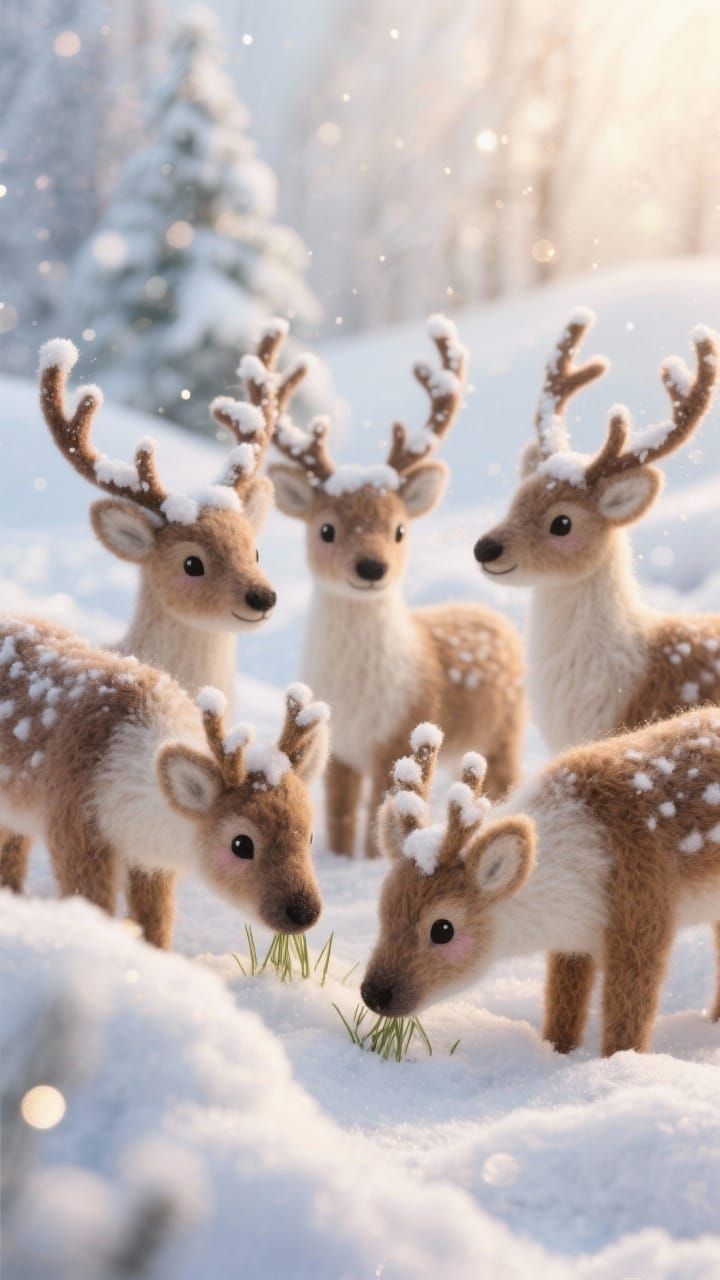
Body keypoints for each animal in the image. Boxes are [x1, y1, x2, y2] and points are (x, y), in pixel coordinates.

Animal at [0, 616, 328, 949]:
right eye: (241, 843)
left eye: (310, 836)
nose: (304, 912)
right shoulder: (75, 831)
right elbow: (93, 903)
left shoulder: (151, 863)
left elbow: (156, 918)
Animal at [268, 314, 526, 859]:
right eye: (326, 529)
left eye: (400, 529)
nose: (371, 567)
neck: (363, 700)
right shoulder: (340, 748)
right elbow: (341, 816)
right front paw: (340, 859)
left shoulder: (402, 732)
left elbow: (375, 818)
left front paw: (368, 862)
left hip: (506, 726)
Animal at [362, 715, 720, 1057]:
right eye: (383, 910)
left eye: (443, 929)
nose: (374, 994)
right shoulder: (574, 941)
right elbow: (564, 1004)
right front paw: (556, 1052)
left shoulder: (644, 917)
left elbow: (628, 1016)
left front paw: (619, 1063)